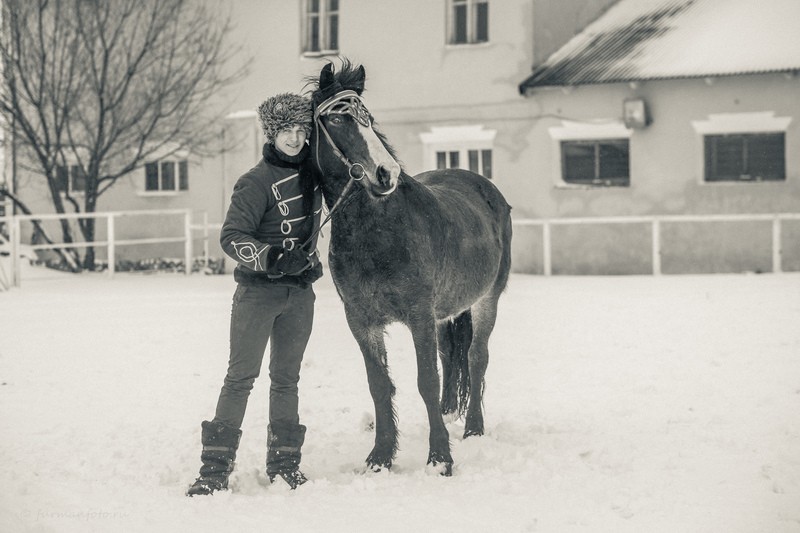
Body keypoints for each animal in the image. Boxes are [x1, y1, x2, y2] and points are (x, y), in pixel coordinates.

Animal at [308, 61, 512, 474]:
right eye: (336, 119)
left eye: (369, 119)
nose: (385, 173)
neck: (378, 232)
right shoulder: (361, 320)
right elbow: (379, 384)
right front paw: (381, 457)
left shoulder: (419, 314)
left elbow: (426, 381)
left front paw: (440, 458)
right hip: (446, 311)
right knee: (451, 355)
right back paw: (449, 414)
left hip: (487, 300)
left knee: (476, 358)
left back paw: (473, 429)